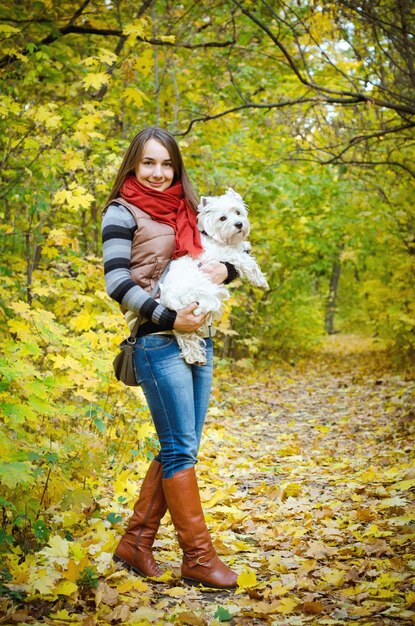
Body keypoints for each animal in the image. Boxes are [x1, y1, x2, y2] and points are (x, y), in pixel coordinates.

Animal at [159, 186, 270, 360]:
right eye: (222, 218)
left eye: (238, 212)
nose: (239, 224)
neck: (214, 238)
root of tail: (169, 300)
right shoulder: (226, 255)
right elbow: (247, 262)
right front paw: (261, 282)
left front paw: (245, 244)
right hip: (207, 298)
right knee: (191, 326)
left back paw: (195, 356)